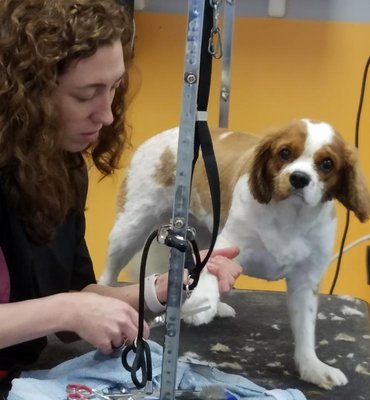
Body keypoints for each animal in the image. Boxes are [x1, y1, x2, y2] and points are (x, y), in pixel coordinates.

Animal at [99, 118, 370, 388]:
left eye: (327, 163)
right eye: (285, 153)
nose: (299, 178)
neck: (290, 216)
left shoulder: (306, 280)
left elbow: (305, 328)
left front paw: (312, 367)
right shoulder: (227, 243)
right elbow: (209, 269)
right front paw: (202, 303)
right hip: (130, 228)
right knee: (109, 272)